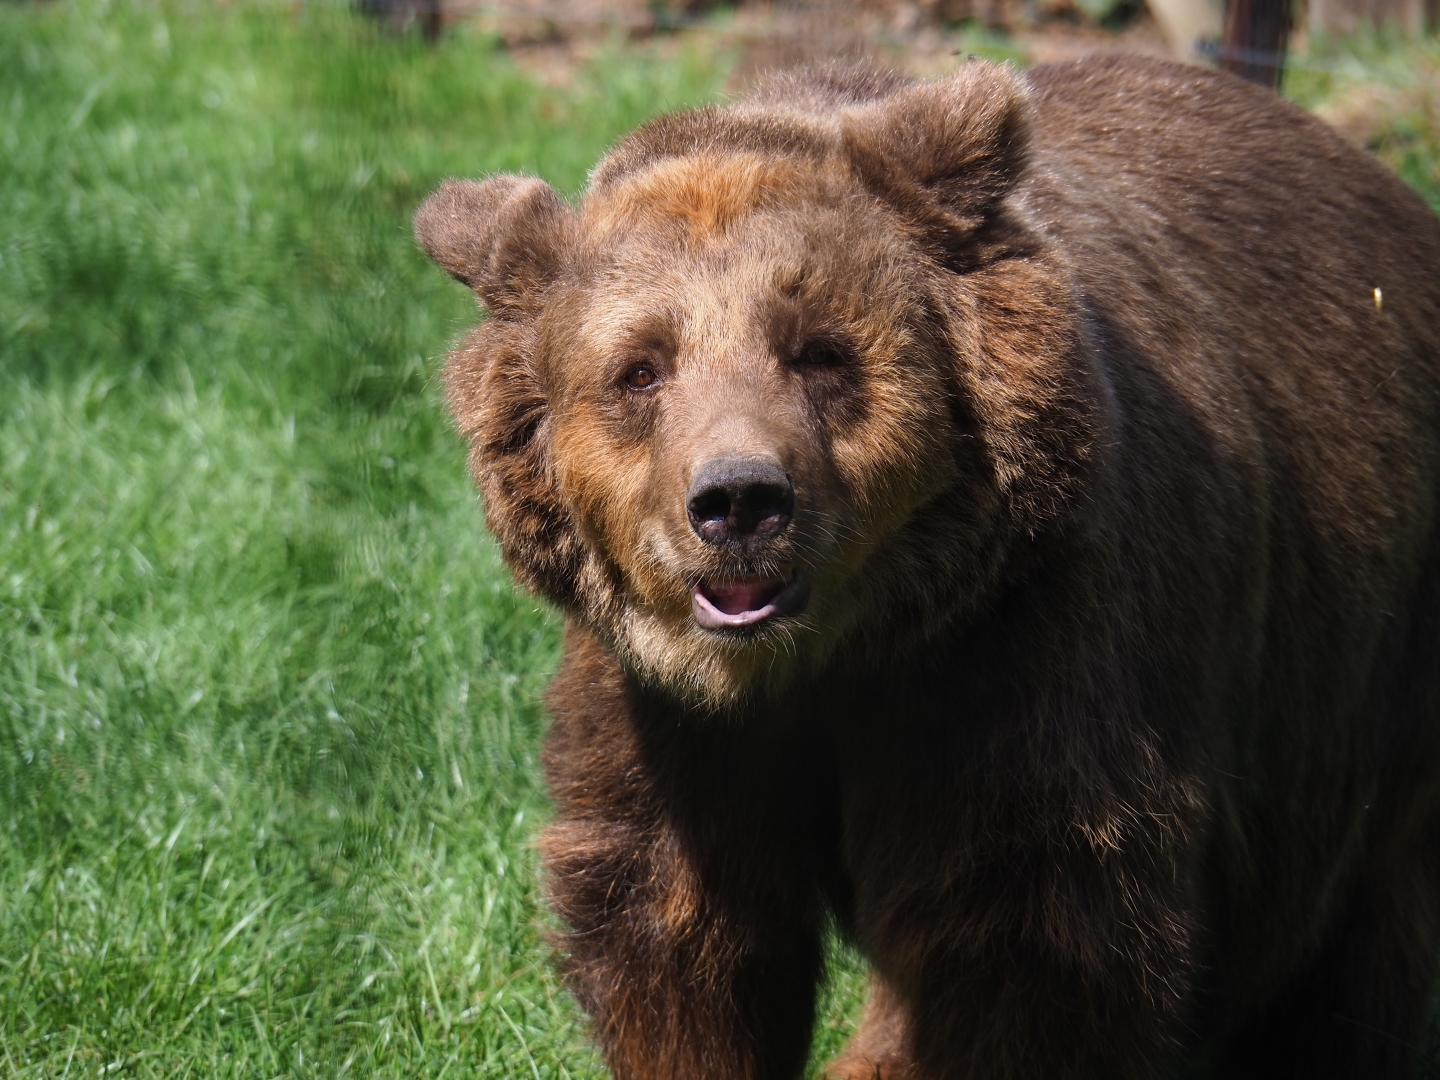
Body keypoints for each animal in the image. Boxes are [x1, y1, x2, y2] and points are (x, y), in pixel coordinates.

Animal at [414, 55, 1440, 1079]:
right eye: (640, 368)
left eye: (820, 351)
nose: (739, 500)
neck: (827, 659)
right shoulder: (667, 719)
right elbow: (681, 934)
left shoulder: (1020, 654)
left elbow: (1022, 940)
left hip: (1364, 682)